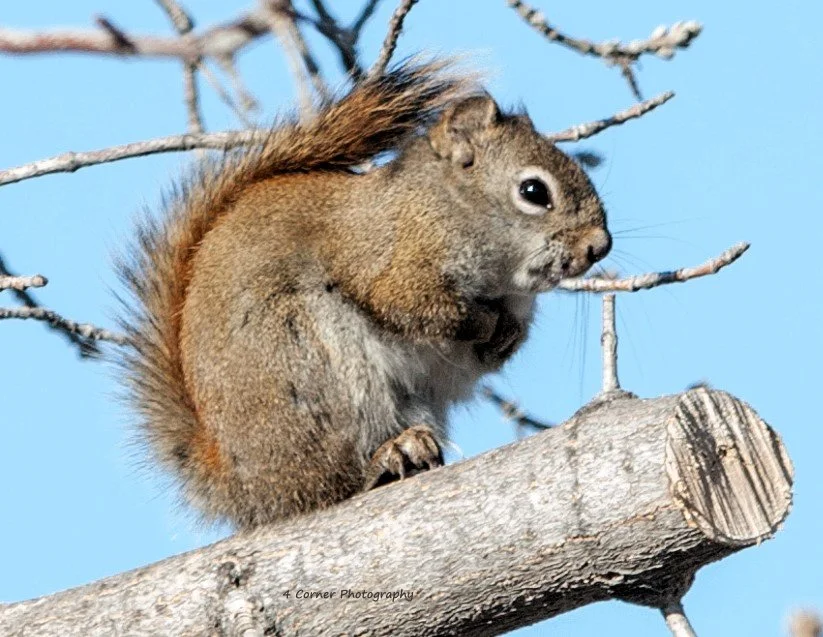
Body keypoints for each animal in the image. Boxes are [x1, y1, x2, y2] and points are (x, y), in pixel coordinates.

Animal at [117, 61, 611, 530]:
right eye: (534, 191)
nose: (598, 247)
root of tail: (249, 489)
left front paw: (507, 334)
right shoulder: (388, 262)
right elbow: (415, 306)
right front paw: (484, 321)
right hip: (315, 364)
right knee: (332, 482)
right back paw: (382, 460)